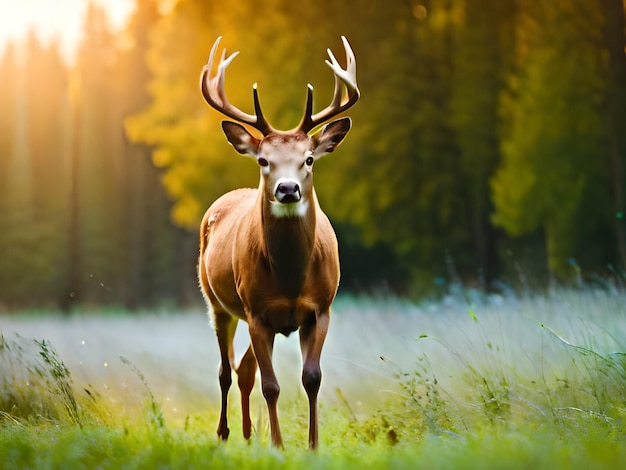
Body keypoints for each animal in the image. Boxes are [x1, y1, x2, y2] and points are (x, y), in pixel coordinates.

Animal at [197, 35, 358, 448]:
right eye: (263, 160)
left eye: (309, 159)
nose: (288, 189)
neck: (290, 280)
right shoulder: (257, 311)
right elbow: (271, 386)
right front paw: (279, 445)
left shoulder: (320, 308)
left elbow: (312, 378)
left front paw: (313, 446)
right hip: (218, 303)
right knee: (226, 369)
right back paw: (226, 432)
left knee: (242, 369)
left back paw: (247, 433)